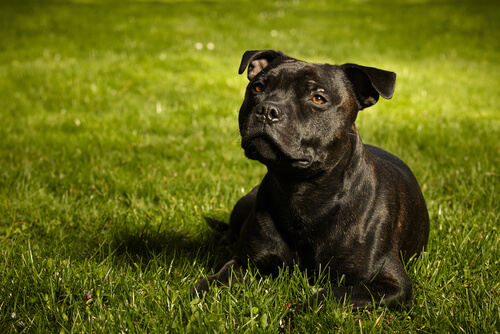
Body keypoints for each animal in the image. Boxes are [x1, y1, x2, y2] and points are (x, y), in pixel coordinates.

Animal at [191, 49, 430, 314]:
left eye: (318, 98)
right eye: (258, 88)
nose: (267, 110)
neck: (301, 193)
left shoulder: (391, 283)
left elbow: (330, 295)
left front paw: (293, 312)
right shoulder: (246, 262)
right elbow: (215, 279)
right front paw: (197, 293)